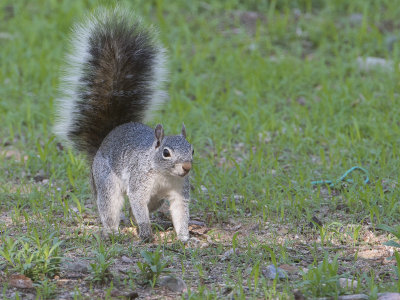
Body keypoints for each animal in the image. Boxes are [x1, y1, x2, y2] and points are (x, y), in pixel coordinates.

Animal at [54, 8, 195, 243]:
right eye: (166, 153)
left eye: (192, 150)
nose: (186, 167)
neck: (165, 175)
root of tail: (105, 141)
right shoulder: (139, 182)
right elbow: (138, 203)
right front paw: (146, 231)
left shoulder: (178, 190)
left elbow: (180, 211)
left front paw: (184, 237)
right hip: (107, 183)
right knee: (111, 207)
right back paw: (113, 231)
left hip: (155, 199)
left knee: (137, 209)